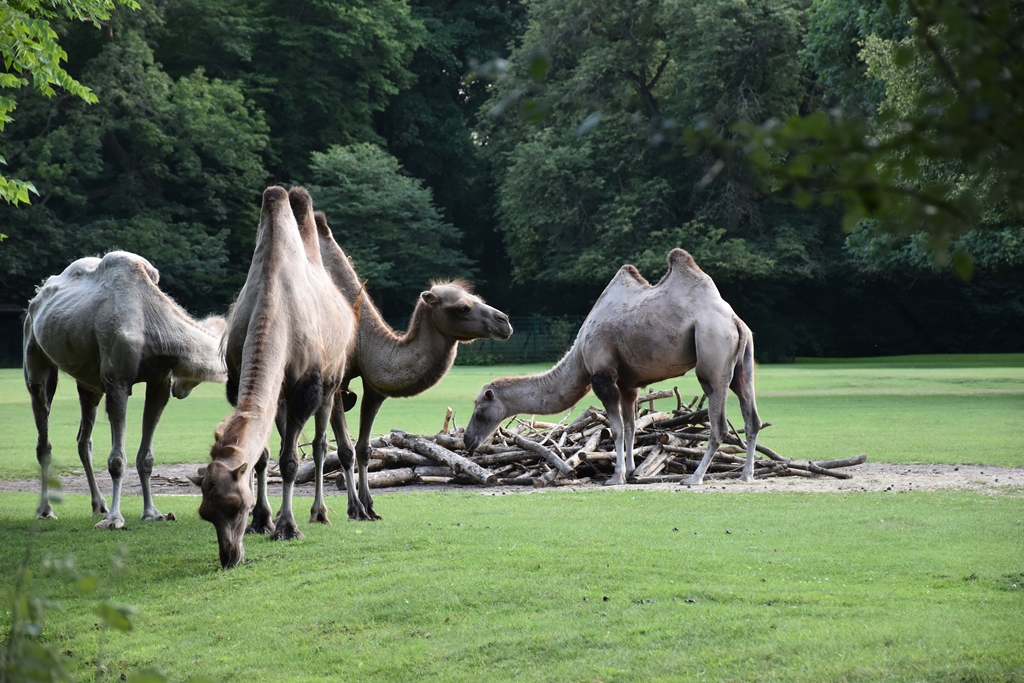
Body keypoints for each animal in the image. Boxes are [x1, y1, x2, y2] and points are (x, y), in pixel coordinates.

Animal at [23, 251, 228, 528]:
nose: (180, 389)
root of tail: (37, 297)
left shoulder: (158, 382)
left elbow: (147, 458)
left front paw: (153, 513)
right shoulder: (117, 379)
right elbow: (117, 460)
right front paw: (114, 519)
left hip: (89, 383)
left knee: (83, 439)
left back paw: (99, 505)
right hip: (34, 353)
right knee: (43, 432)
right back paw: (46, 510)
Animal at [189, 186, 356, 568]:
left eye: (238, 506)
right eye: (206, 513)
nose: (229, 557)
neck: (273, 310)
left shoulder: (305, 389)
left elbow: (291, 461)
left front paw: (287, 527)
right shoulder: (243, 379)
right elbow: (264, 456)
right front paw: (264, 521)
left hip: (331, 383)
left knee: (321, 444)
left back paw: (319, 512)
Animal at [314, 212, 513, 520]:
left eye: (477, 300)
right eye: (462, 308)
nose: (504, 321)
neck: (361, 337)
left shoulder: (374, 387)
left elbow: (364, 449)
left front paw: (370, 507)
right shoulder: (333, 383)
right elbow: (345, 450)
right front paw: (355, 509)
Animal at [464, 248, 760, 487]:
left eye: (480, 411)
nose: (467, 441)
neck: (579, 356)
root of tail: (734, 321)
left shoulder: (602, 376)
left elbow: (616, 428)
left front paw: (616, 477)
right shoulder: (628, 384)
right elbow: (631, 426)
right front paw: (631, 472)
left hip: (712, 352)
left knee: (719, 423)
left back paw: (695, 478)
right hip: (742, 362)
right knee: (751, 416)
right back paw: (746, 475)